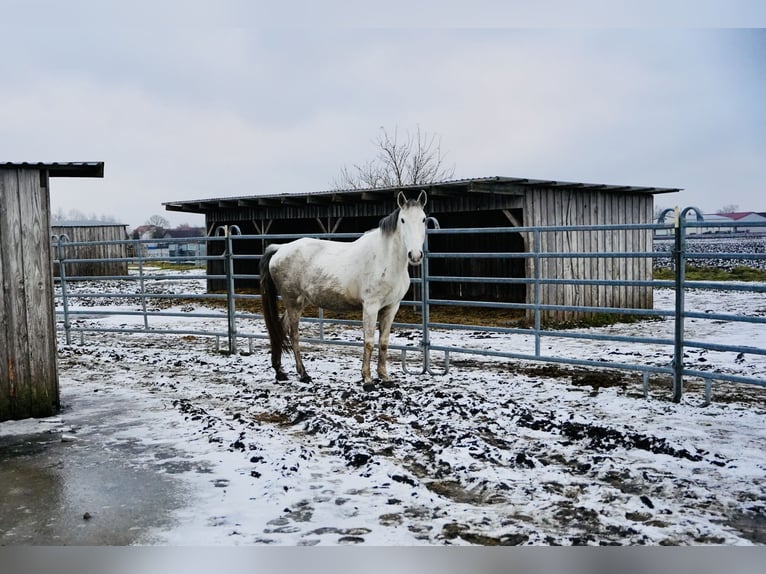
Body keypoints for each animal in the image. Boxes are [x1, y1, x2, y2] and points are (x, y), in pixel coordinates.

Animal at [260, 192, 428, 392]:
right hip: (293, 302)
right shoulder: (370, 307)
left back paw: (279, 371)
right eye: (403, 220)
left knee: (281, 327)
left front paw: (385, 378)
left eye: (424, 219)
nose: (415, 255)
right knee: (293, 335)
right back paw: (303, 374)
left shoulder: (391, 307)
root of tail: (280, 249)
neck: (385, 259)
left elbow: (384, 342)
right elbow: (369, 342)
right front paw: (368, 380)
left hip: (299, 302)